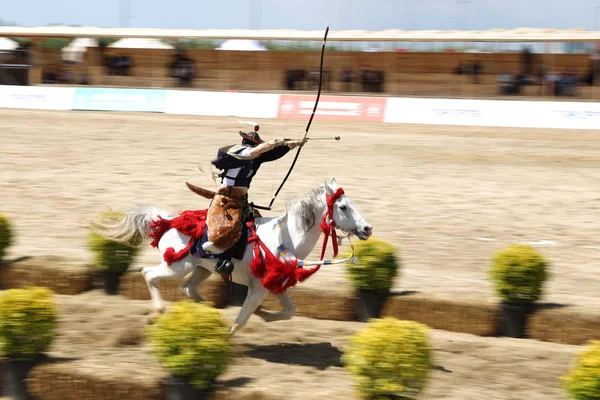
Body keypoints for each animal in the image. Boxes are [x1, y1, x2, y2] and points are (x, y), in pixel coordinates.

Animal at [91, 178, 372, 334]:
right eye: (343, 207)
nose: (367, 228)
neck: (286, 238)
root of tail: (168, 221)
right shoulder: (258, 289)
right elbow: (241, 321)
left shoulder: (276, 284)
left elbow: (290, 311)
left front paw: (264, 315)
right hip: (177, 266)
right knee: (149, 274)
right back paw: (158, 311)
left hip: (201, 270)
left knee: (187, 289)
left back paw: (205, 310)